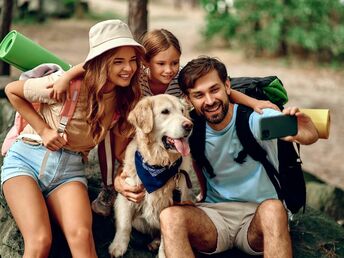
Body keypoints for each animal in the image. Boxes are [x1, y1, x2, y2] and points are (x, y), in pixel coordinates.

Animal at [108, 94, 194, 258]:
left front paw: (162, 254)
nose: (189, 125)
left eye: (182, 111)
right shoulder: (127, 194)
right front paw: (118, 247)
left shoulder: (171, 208)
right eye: (165, 111)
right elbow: (124, 225)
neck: (157, 164)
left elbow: (166, 237)